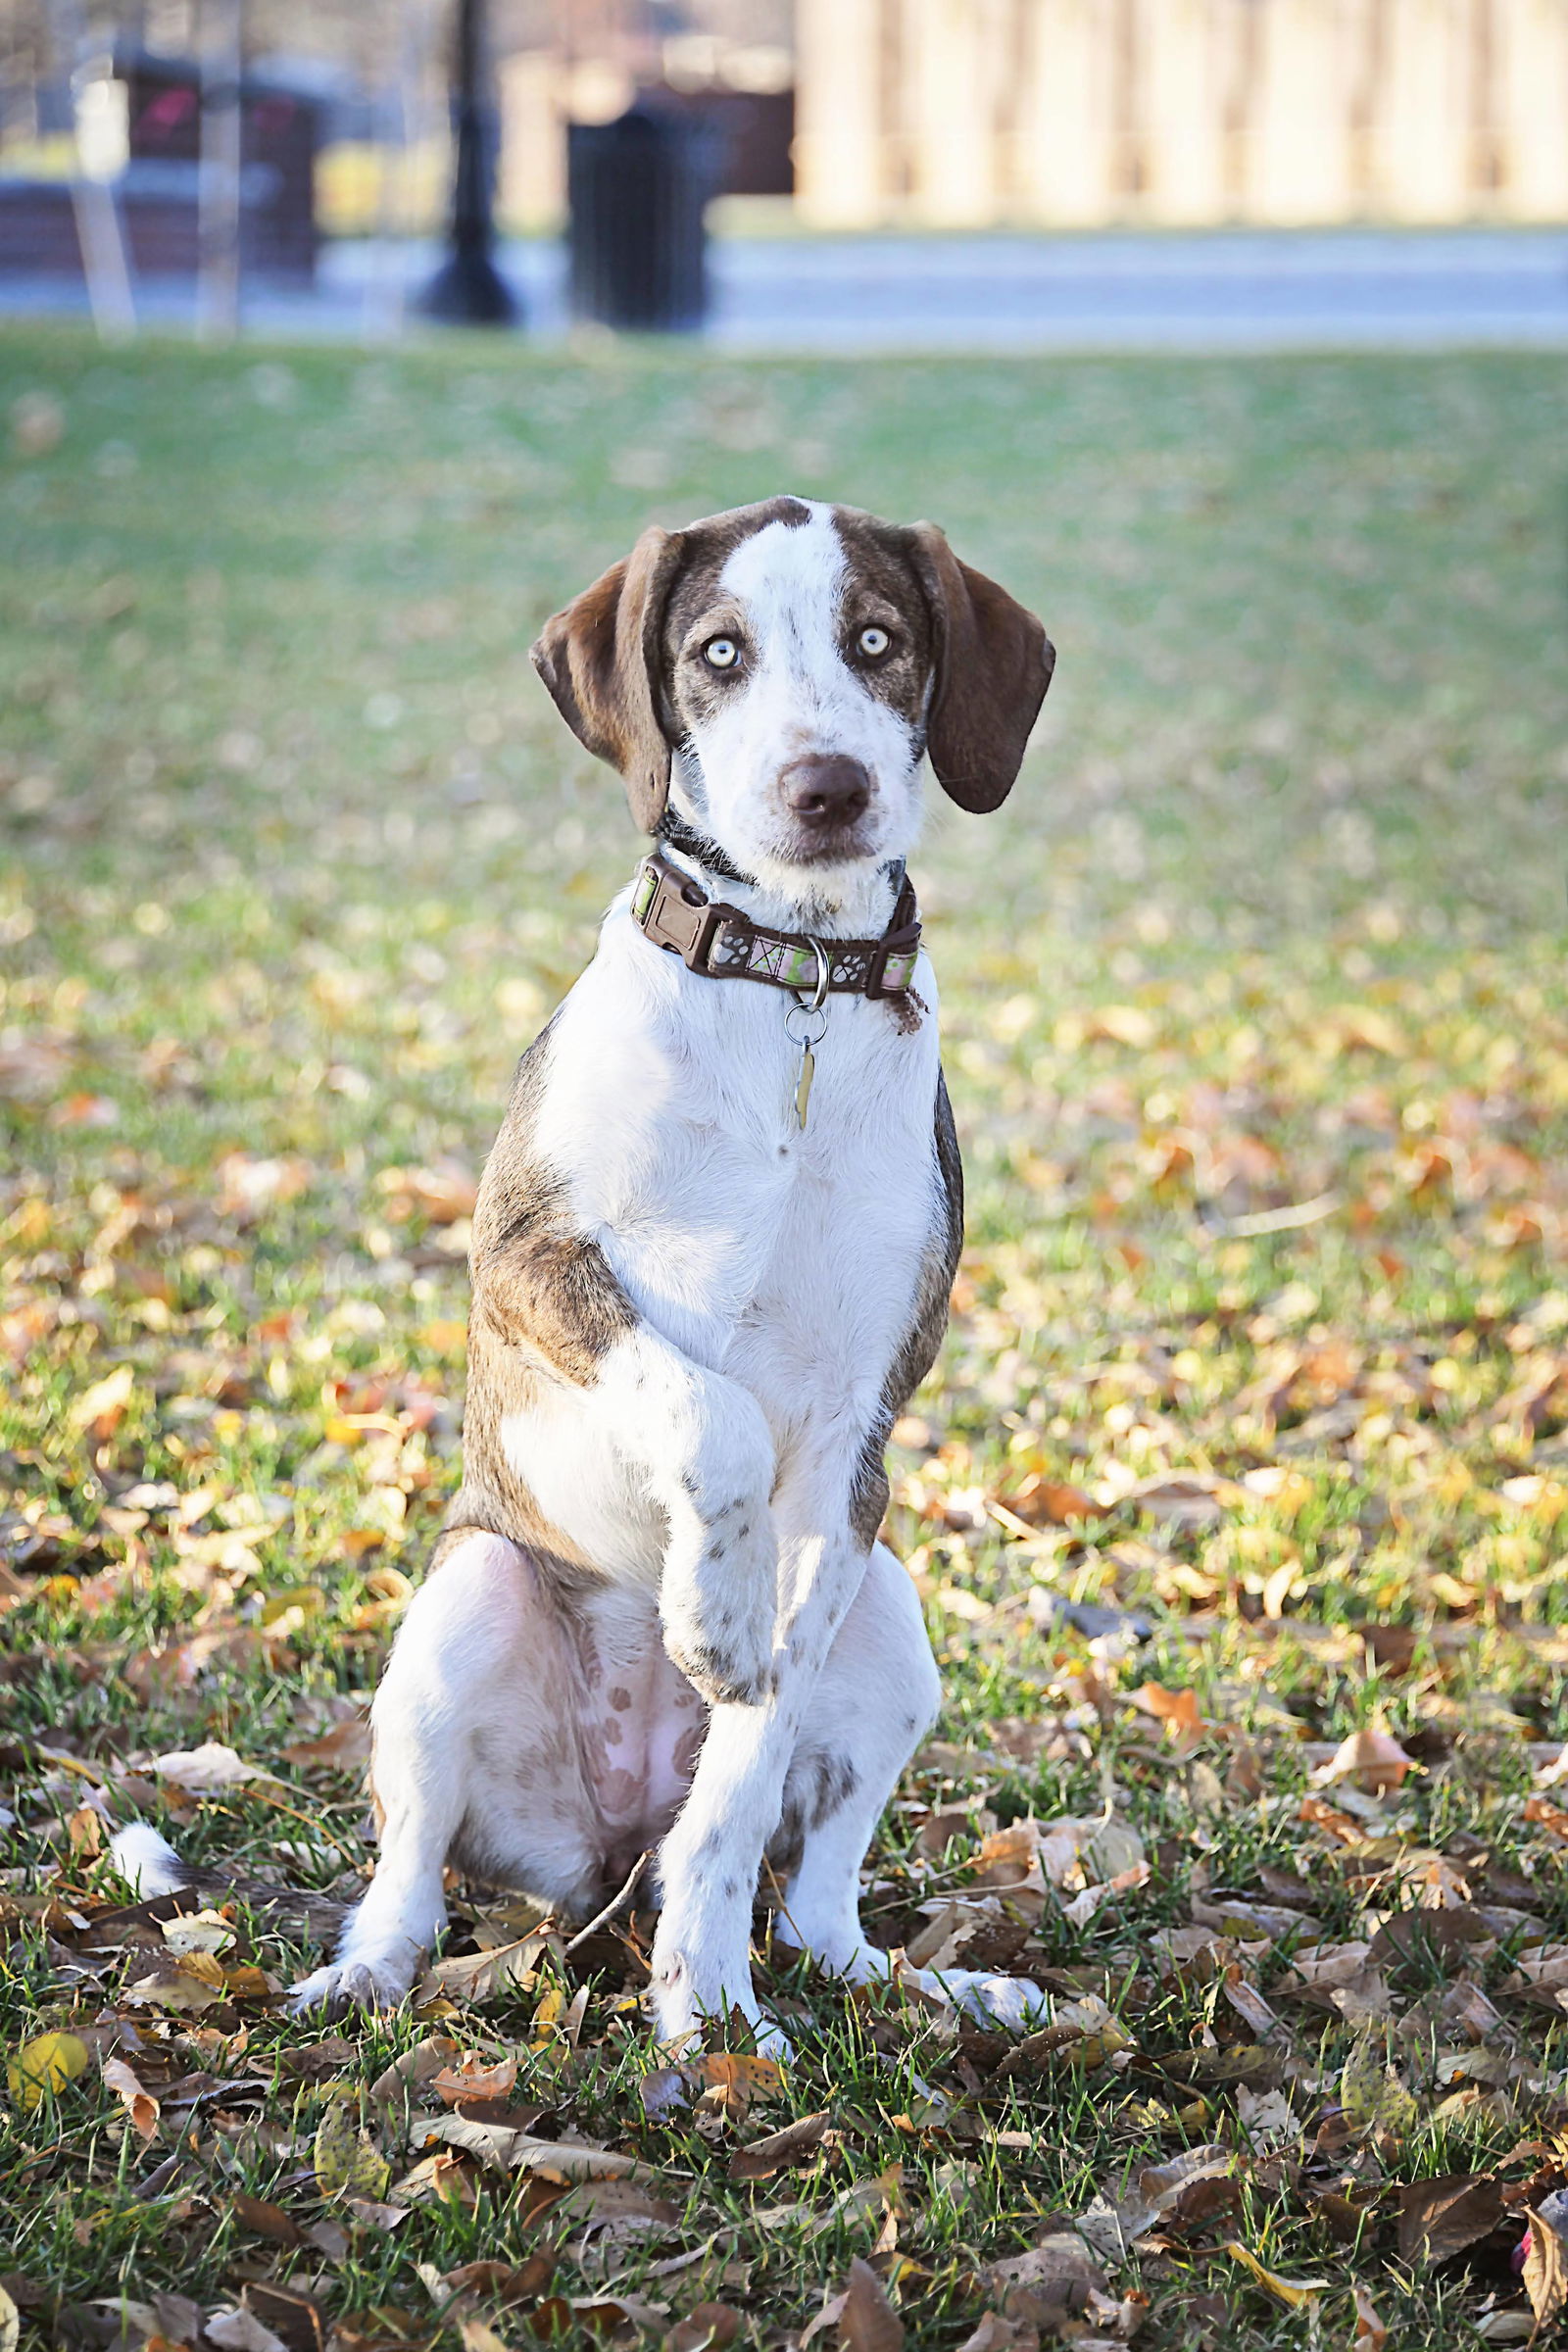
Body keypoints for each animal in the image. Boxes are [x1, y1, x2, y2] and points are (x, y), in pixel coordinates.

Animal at [215, 491, 1053, 2041]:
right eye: (719, 651)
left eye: (878, 641)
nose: (827, 788)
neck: (787, 993)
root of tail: (599, 1857)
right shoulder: (528, 1258)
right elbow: (709, 1412)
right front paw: (709, 1611)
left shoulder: (859, 1431)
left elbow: (740, 1784)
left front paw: (711, 2018)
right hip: (466, 1601)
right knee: (411, 1874)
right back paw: (360, 1974)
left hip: (893, 1616)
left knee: (810, 1892)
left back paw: (925, 1983)